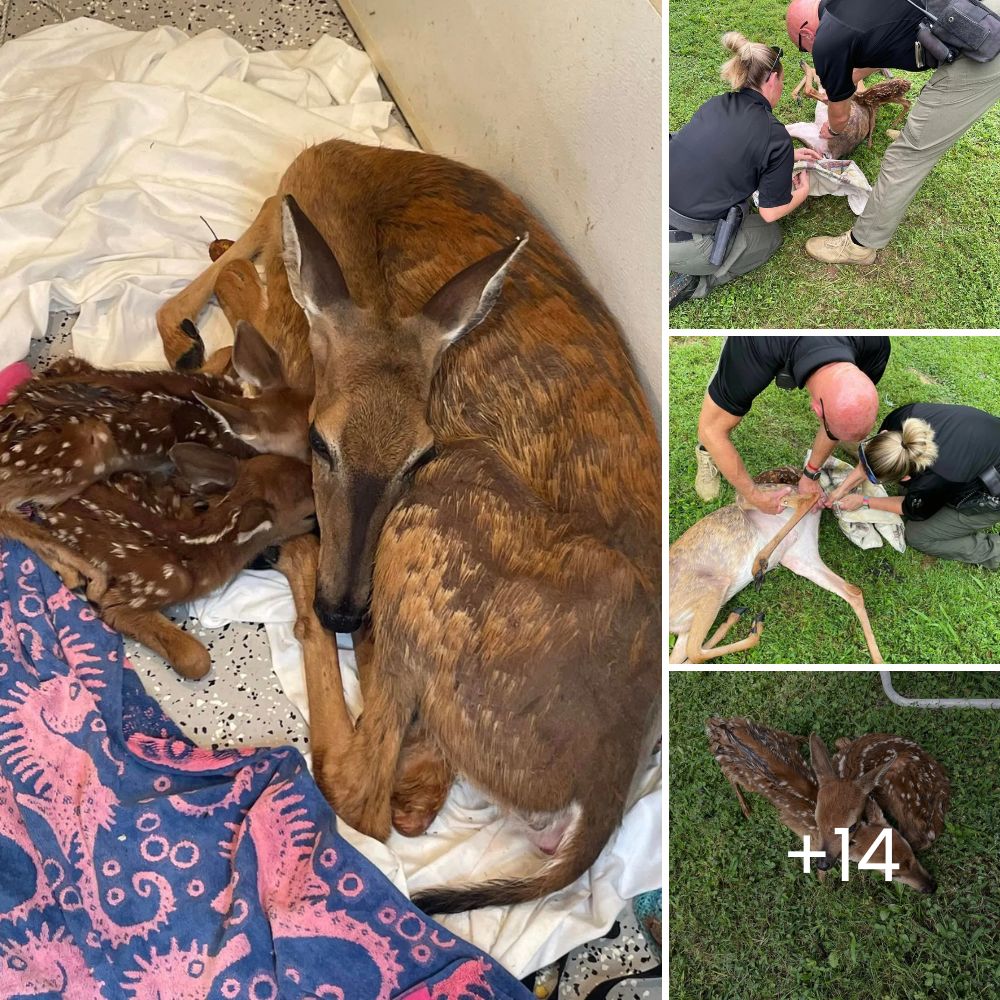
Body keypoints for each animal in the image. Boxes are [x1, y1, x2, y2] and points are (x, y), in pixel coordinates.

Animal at [152, 139, 660, 916]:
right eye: (322, 442)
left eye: (420, 452)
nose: (344, 606)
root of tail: (606, 782)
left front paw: (208, 324)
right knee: (412, 790)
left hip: (433, 524)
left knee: (361, 791)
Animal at [668, 470, 880, 664]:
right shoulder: (686, 629)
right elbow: (682, 658)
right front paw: (736, 620)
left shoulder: (714, 586)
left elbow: (695, 654)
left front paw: (754, 628)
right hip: (800, 557)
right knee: (853, 590)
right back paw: (879, 659)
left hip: (755, 498)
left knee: (806, 499)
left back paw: (758, 566)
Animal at [708, 716, 932, 896]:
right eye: (892, 874)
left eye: (911, 854)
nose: (931, 886)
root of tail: (716, 725)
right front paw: (823, 885)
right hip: (740, 775)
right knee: (729, 776)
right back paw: (746, 809)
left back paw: (802, 738)